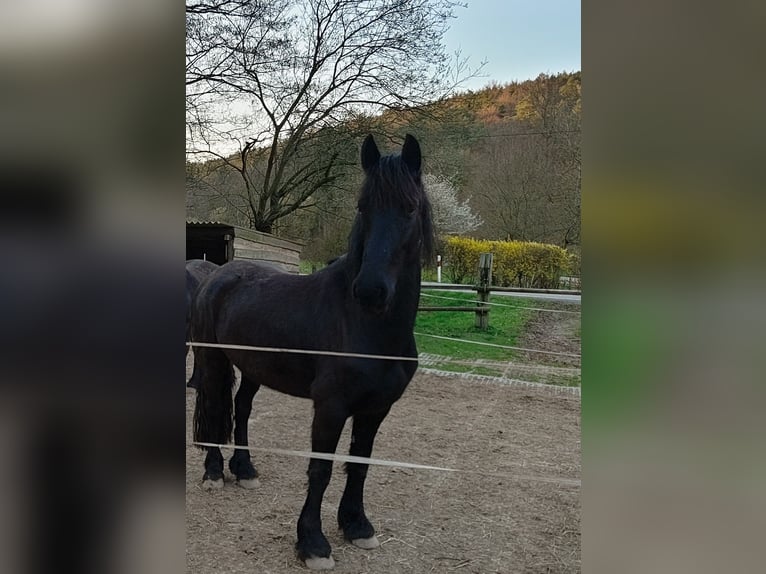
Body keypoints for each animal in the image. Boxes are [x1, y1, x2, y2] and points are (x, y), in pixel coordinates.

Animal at [191, 134, 433, 570]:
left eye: (409, 208)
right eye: (362, 206)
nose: (370, 290)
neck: (365, 325)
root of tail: (218, 274)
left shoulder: (376, 409)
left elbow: (360, 464)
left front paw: (357, 526)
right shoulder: (331, 407)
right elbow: (320, 470)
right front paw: (313, 543)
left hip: (253, 368)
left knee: (242, 408)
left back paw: (245, 469)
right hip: (213, 360)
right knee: (216, 408)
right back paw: (215, 473)